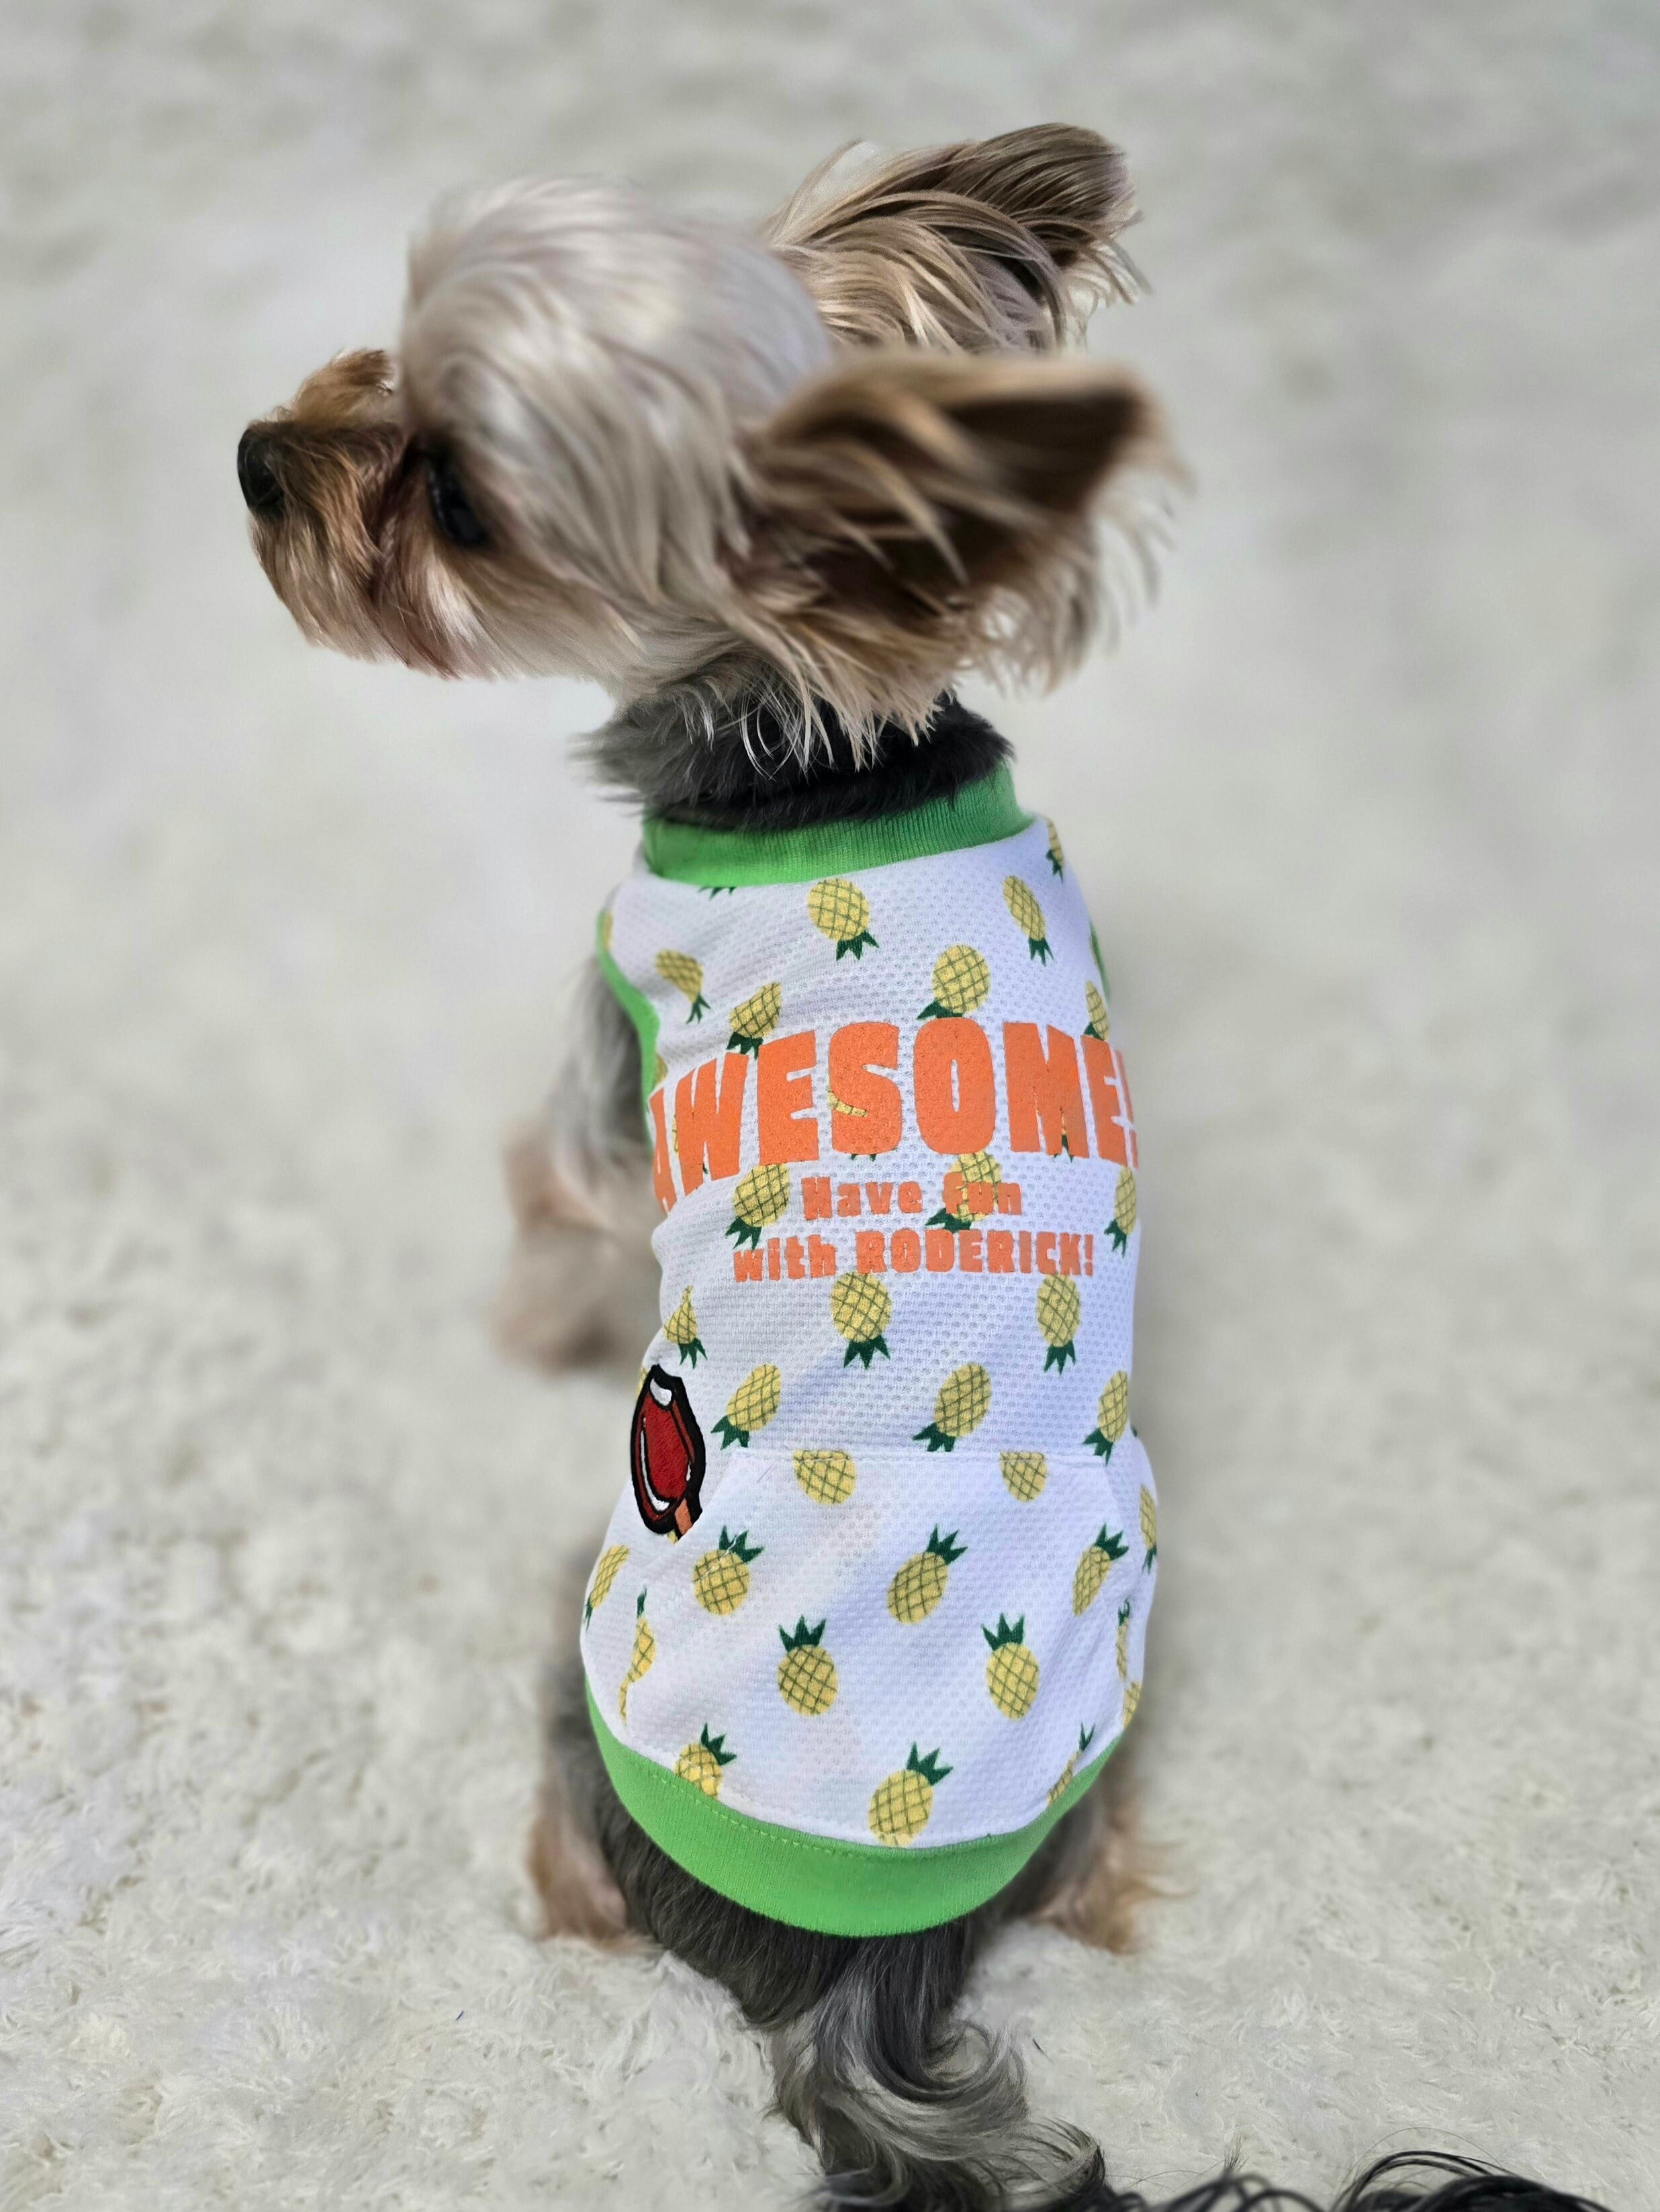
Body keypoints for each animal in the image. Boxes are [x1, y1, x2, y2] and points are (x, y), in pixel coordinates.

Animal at [240, 125, 1606, 2212]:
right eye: (385, 344)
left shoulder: (604, 1049)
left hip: (578, 1642)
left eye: (463, 501)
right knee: (1095, 1870)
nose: (254, 455)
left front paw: (524, 1329)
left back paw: (553, 1903)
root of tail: (856, 1993)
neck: (821, 760)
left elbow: (555, 1211)